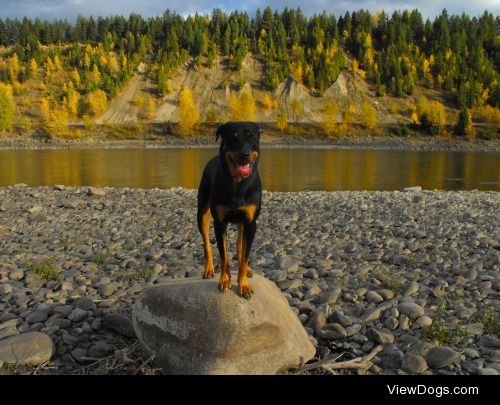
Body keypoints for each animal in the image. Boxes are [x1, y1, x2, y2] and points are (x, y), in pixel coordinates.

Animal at [197, 122, 262, 299]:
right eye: (233, 138)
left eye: (252, 138)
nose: (245, 154)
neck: (238, 183)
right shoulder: (220, 223)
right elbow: (223, 256)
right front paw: (225, 280)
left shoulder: (251, 223)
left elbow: (244, 256)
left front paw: (244, 284)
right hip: (202, 213)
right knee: (206, 243)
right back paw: (209, 269)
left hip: (242, 223)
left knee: (240, 244)